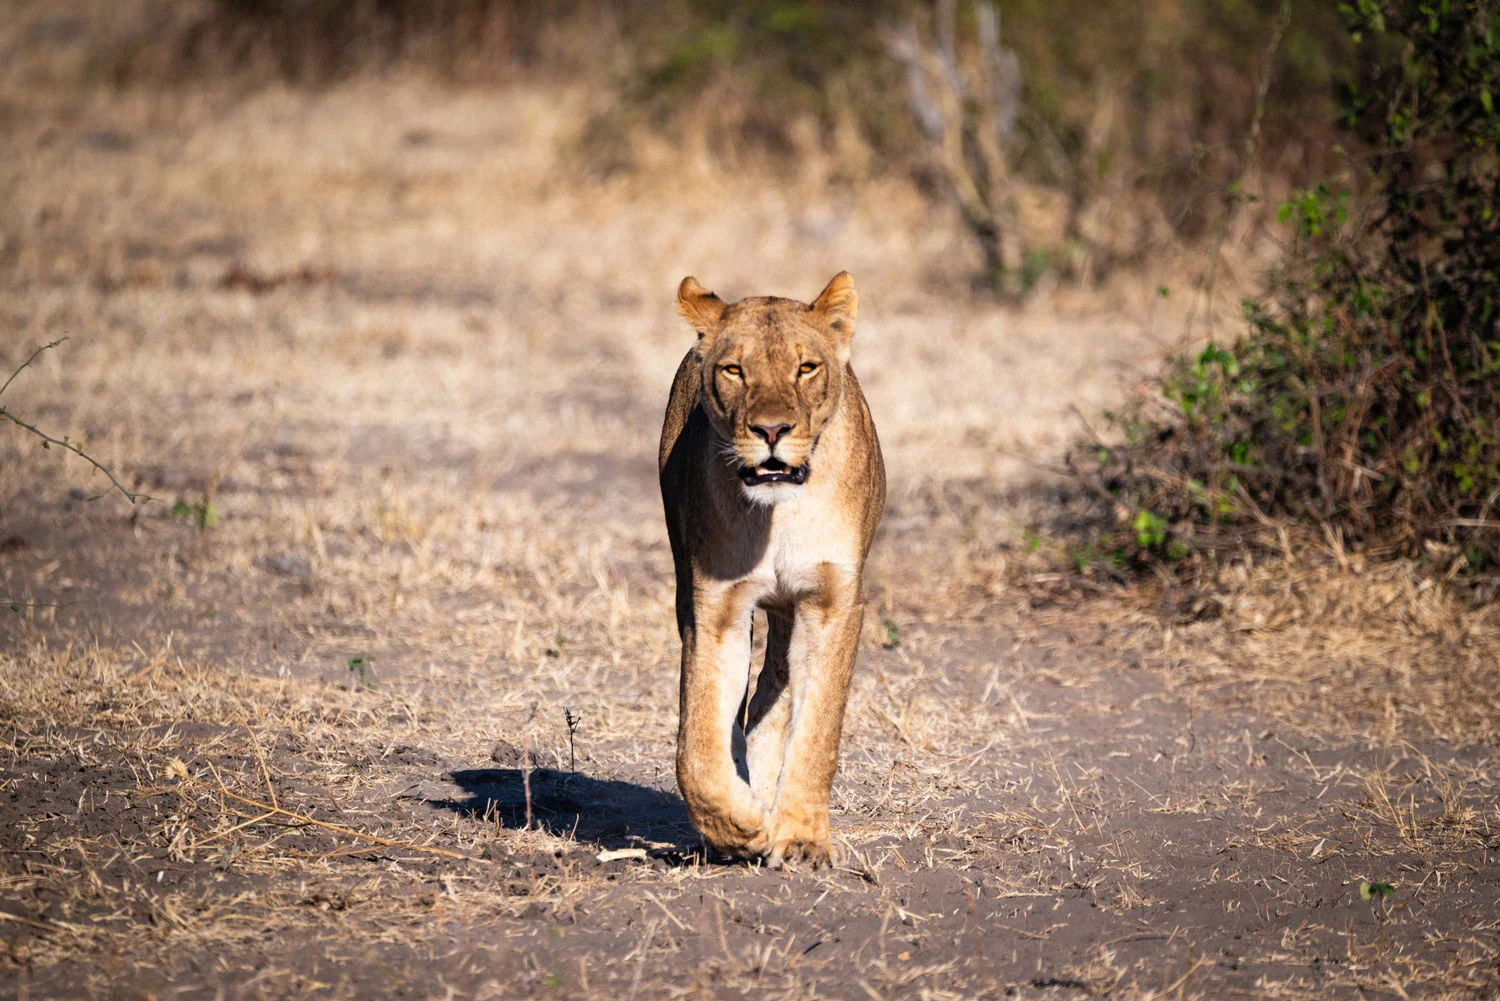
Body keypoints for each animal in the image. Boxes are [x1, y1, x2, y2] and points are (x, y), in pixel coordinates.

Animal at [658, 271, 885, 868]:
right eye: (734, 370)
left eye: (806, 368)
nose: (771, 430)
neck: (779, 513)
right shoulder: (714, 604)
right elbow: (697, 742)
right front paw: (735, 826)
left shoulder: (834, 604)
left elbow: (820, 729)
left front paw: (801, 837)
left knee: (776, 687)